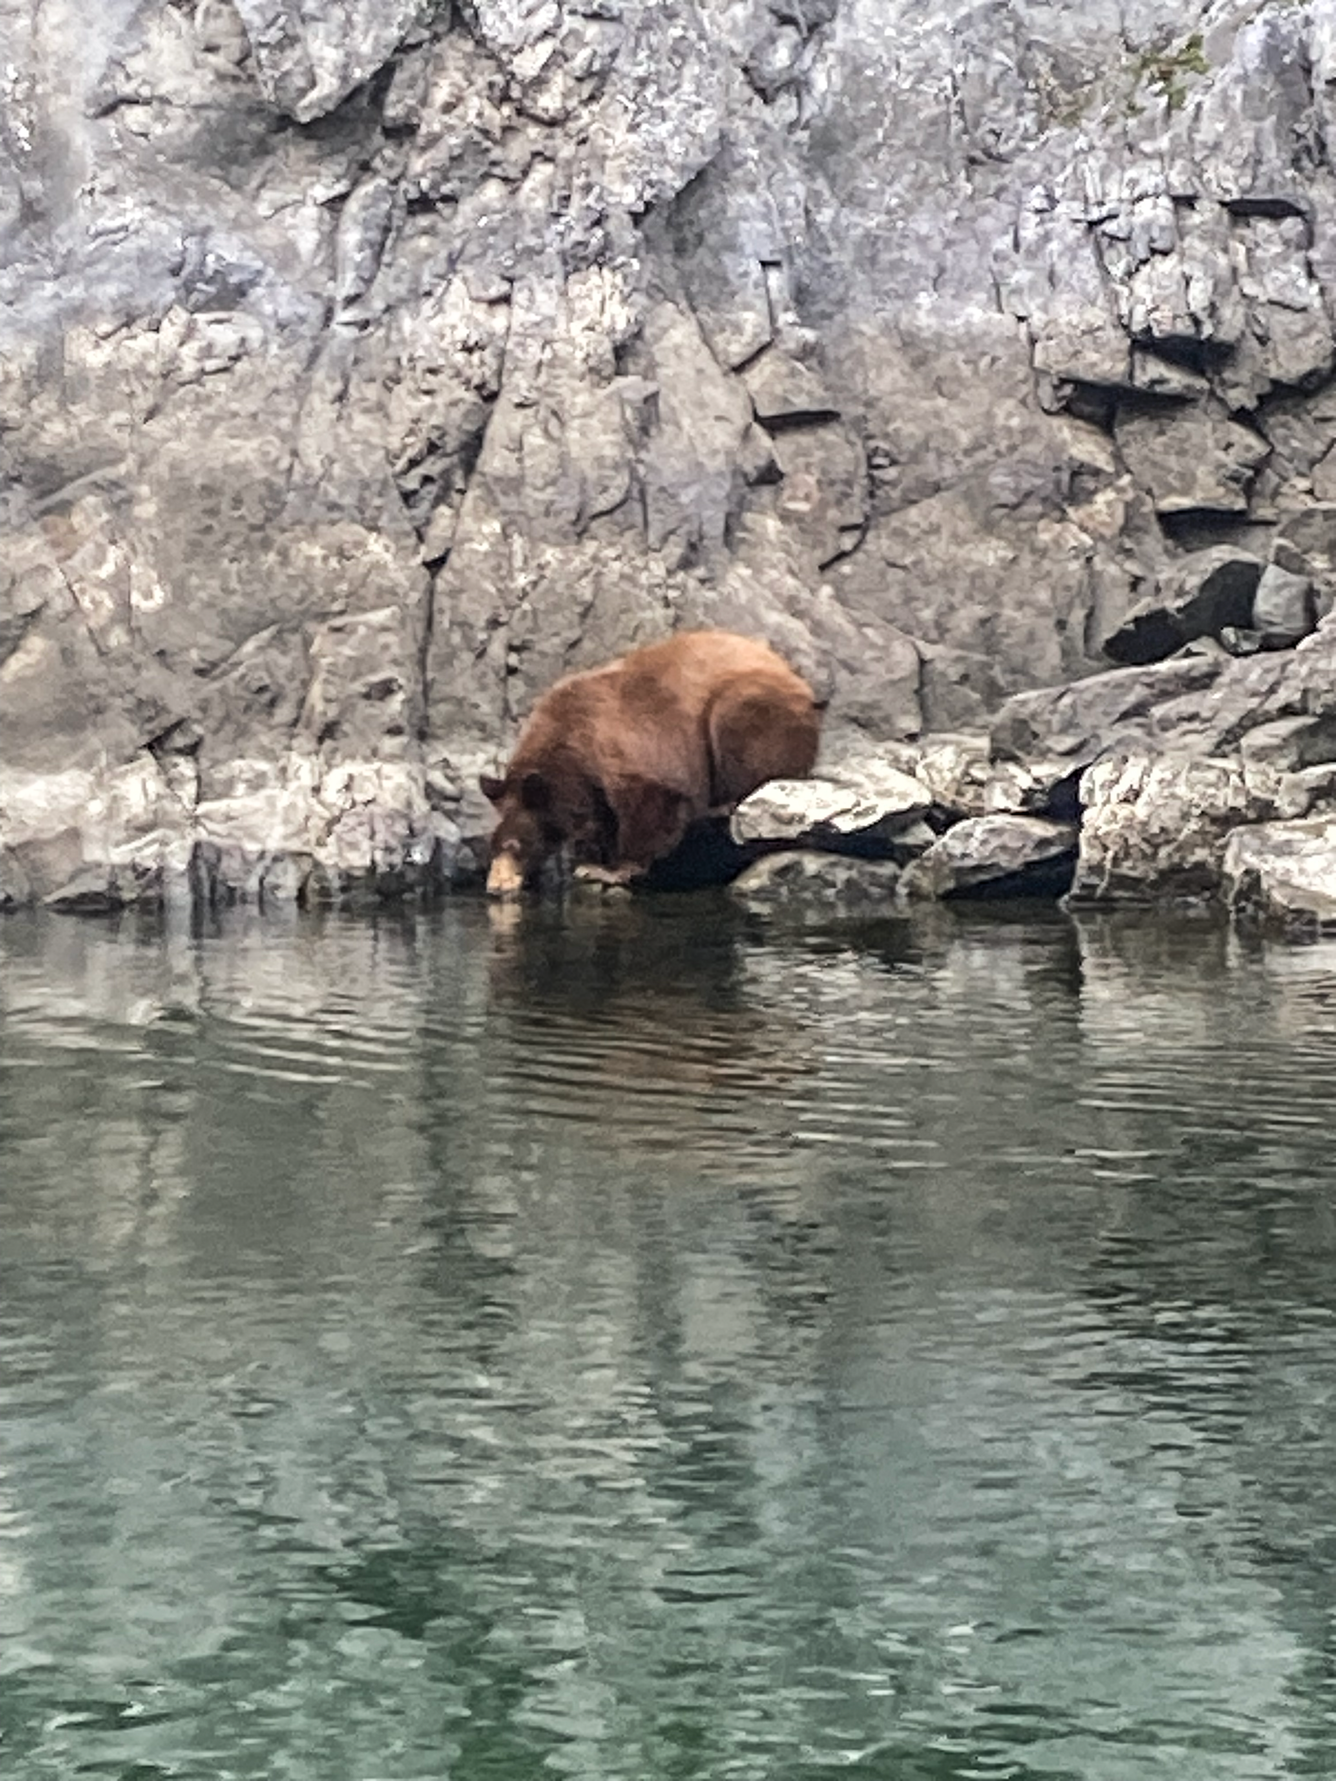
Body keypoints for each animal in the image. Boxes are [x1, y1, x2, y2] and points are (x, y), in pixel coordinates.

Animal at [479, 629, 821, 897]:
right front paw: (595, 858)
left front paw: (613, 868)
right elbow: (602, 815)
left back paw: (726, 802)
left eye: (513, 846)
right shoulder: (589, 781)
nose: (495, 886)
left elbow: (650, 802)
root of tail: (800, 682)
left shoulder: (625, 743)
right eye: (492, 847)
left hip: (753, 704)